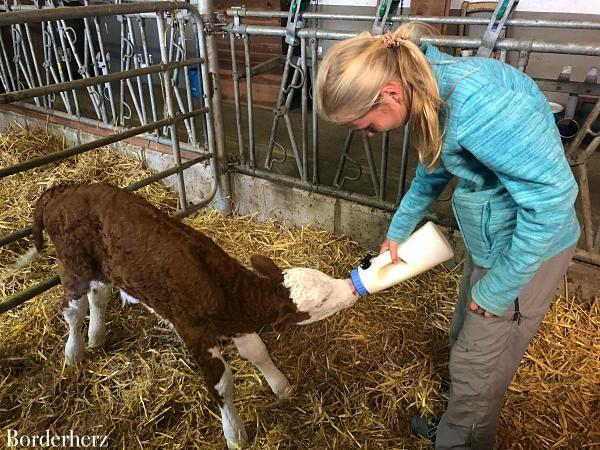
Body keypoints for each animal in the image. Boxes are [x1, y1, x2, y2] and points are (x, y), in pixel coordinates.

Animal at [17, 184, 356, 450]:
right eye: (322, 299)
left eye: (324, 278)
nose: (352, 287)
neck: (227, 292)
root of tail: (61, 189)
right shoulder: (195, 333)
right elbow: (222, 384)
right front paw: (235, 434)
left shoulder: (235, 322)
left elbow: (257, 352)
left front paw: (281, 387)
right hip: (73, 264)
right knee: (73, 309)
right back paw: (74, 352)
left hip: (102, 266)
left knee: (98, 295)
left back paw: (97, 336)